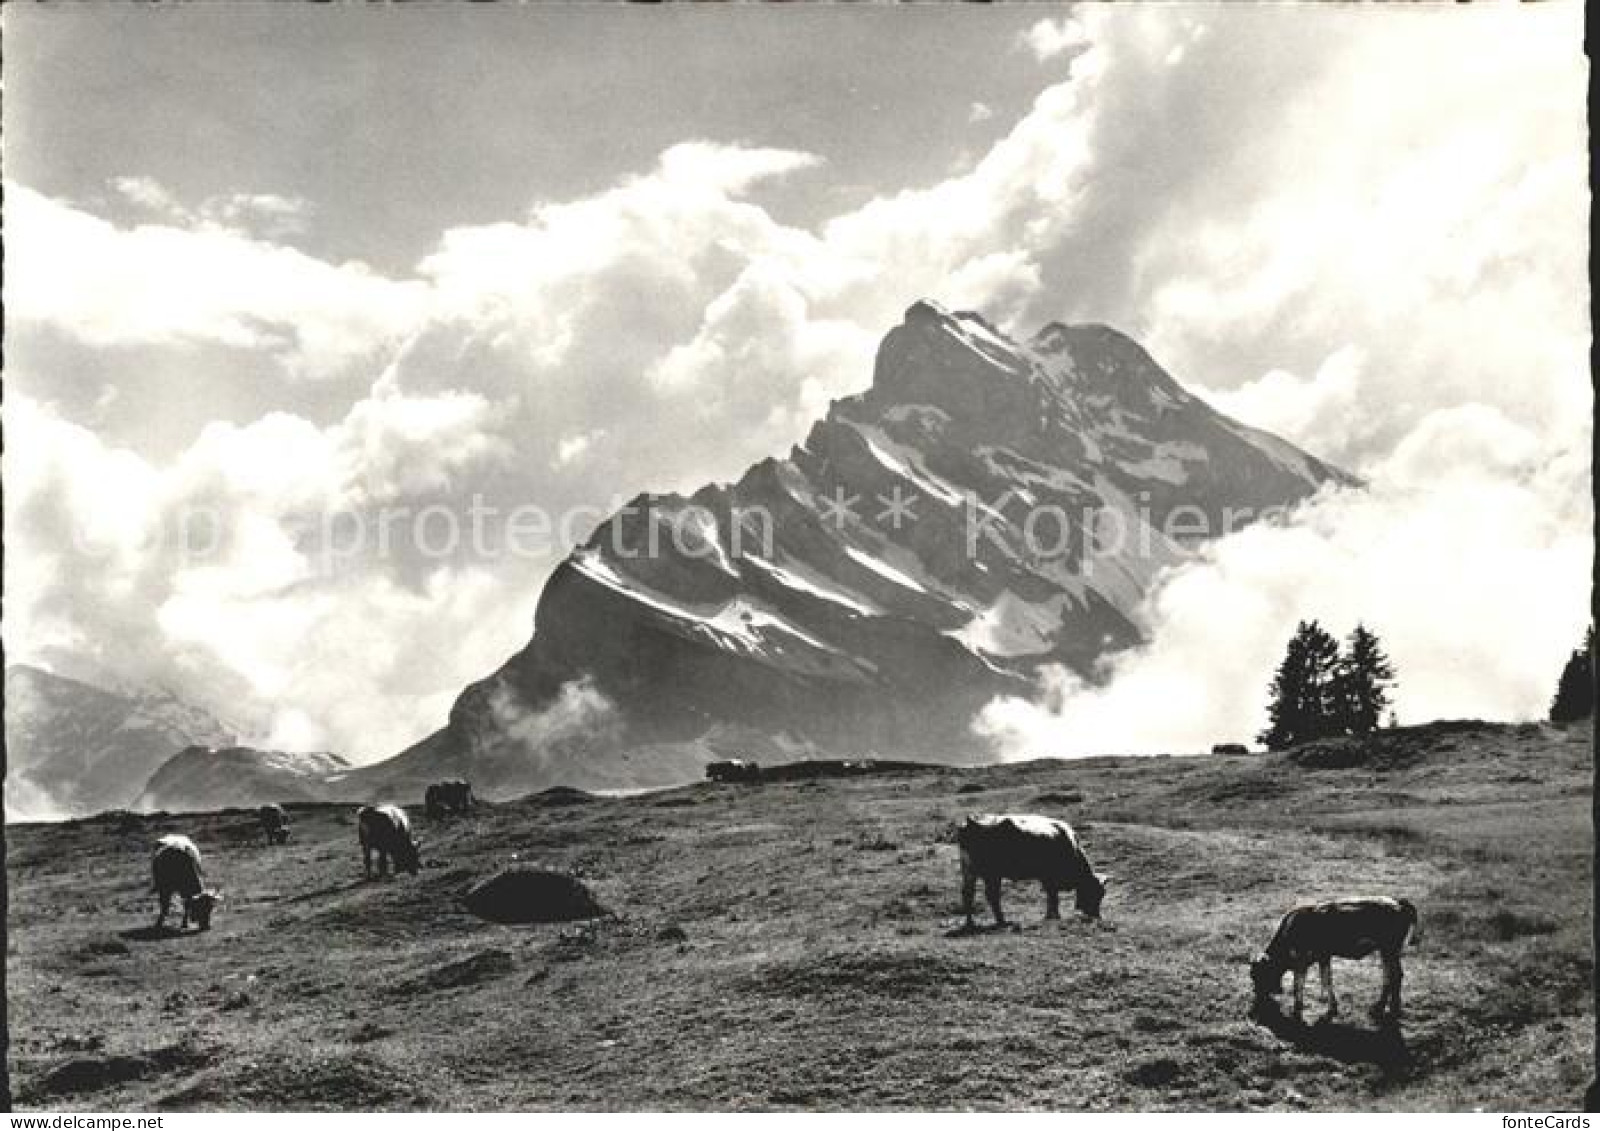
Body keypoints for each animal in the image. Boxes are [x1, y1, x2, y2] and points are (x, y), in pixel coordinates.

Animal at [953, 812, 1107, 927]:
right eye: (1094, 893)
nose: (1097, 917)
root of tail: (972, 822)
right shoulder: (1048, 877)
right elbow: (1053, 896)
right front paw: (1053, 916)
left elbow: (1052, 896)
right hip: (991, 875)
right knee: (992, 896)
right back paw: (1002, 921)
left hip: (969, 872)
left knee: (968, 894)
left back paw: (970, 923)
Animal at [1254, 895, 1420, 1023]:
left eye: (1256, 975)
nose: (1258, 998)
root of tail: (1398, 902)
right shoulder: (1323, 956)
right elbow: (1326, 979)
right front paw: (1332, 1007)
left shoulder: (1303, 960)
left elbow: (1301, 983)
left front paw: (1297, 1009)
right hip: (1386, 952)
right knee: (1389, 976)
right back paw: (1384, 1008)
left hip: (1389, 950)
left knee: (1395, 975)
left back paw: (1386, 1009)